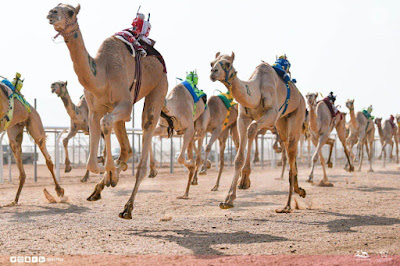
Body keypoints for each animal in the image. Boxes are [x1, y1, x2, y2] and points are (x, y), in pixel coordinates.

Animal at [48, 4, 172, 219]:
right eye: (56, 7)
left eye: (70, 11)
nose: (51, 13)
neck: (102, 75)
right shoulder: (94, 110)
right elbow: (91, 159)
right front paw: (107, 173)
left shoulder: (125, 105)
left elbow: (106, 124)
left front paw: (108, 172)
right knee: (127, 148)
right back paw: (101, 186)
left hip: (159, 86)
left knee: (144, 136)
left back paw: (128, 207)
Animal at [209, 53, 306, 213]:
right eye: (212, 63)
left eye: (228, 64)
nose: (213, 72)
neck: (256, 89)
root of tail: (300, 96)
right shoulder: (243, 117)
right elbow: (238, 157)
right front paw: (229, 198)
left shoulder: (272, 114)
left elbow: (252, 129)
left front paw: (244, 180)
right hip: (282, 122)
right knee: (287, 146)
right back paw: (300, 190)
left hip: (297, 114)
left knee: (291, 145)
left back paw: (287, 205)